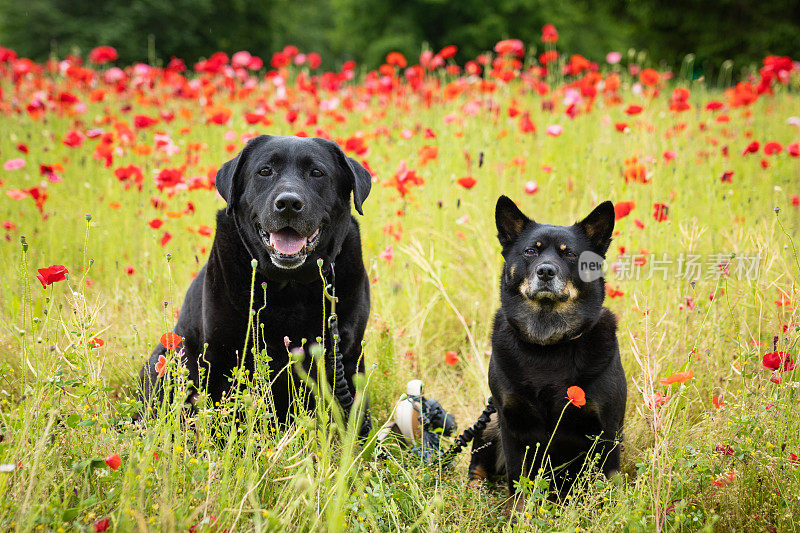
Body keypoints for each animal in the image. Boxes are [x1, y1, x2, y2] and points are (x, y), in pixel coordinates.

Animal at [140, 135, 372, 434]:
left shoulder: (349, 357)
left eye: (317, 173)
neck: (290, 286)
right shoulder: (221, 355)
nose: (288, 203)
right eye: (264, 171)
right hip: (168, 358)